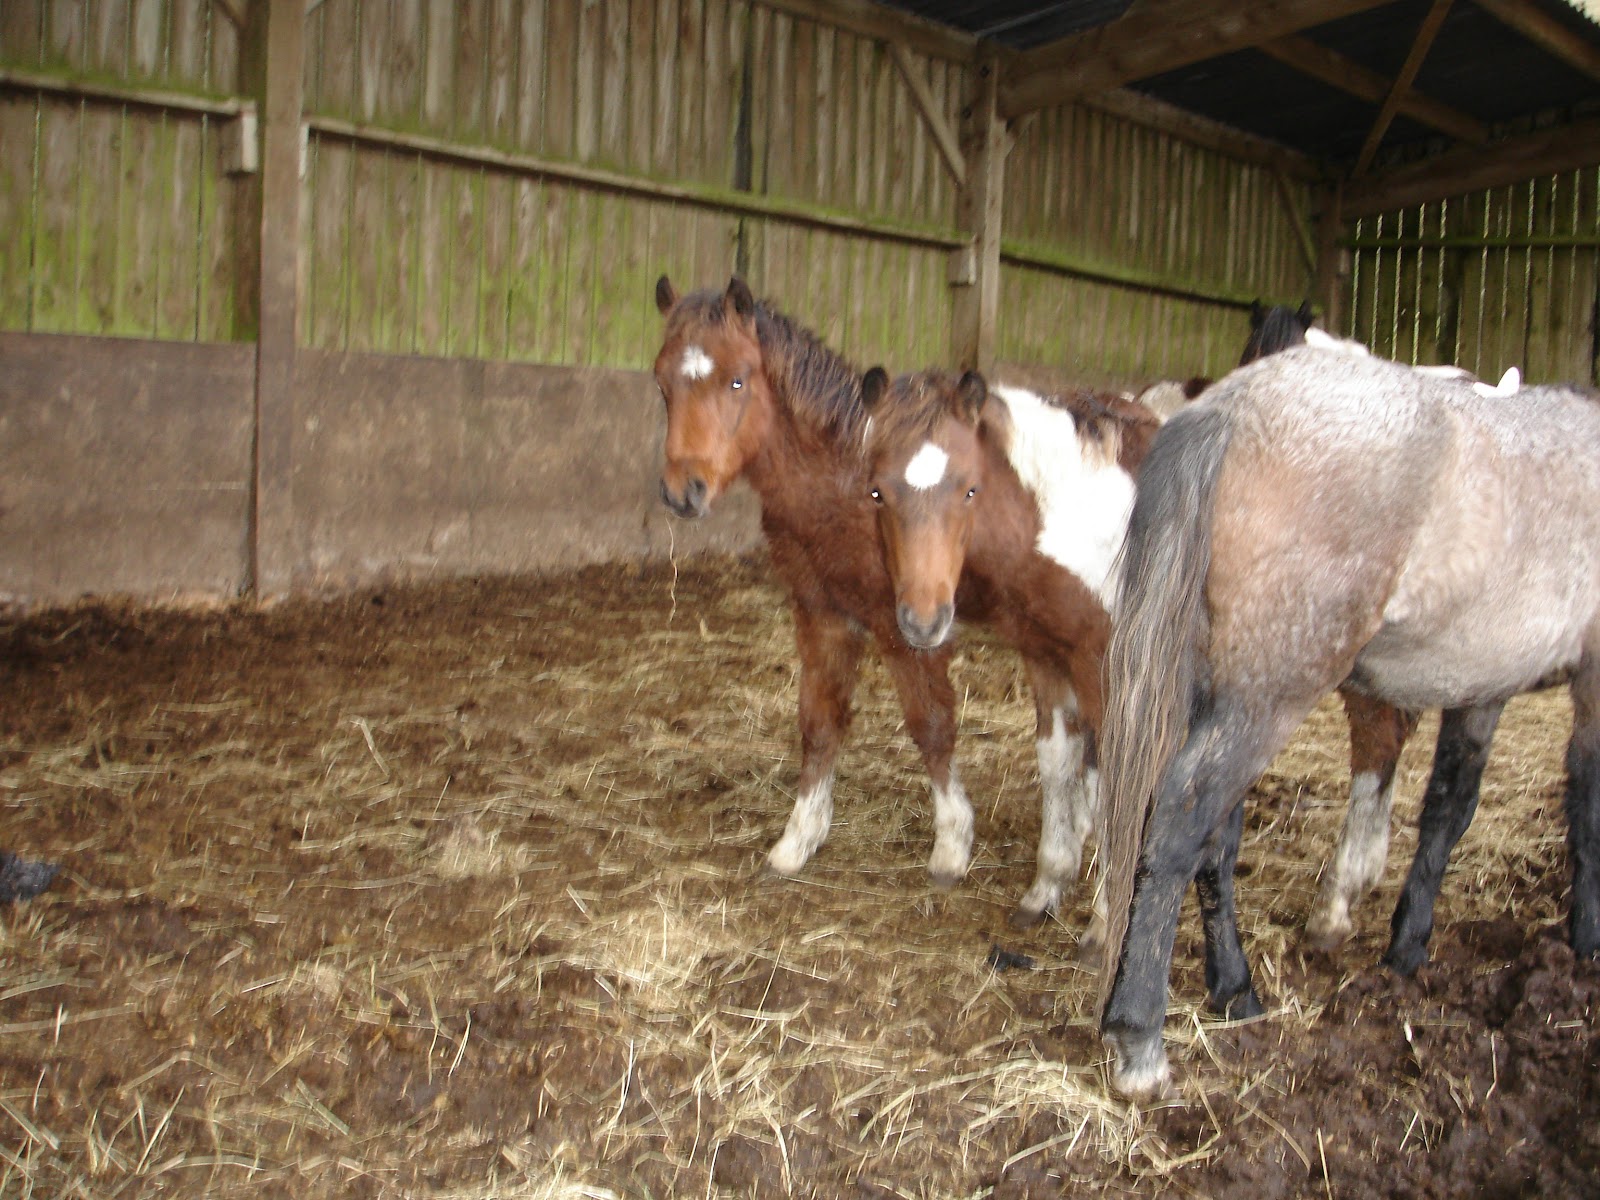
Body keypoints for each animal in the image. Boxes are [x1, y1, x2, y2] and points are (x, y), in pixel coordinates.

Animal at [652, 275, 1083, 922]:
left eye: (737, 379)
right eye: (662, 382)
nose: (685, 492)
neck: (844, 485)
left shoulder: (906, 626)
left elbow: (931, 726)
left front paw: (952, 846)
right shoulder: (820, 613)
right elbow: (819, 723)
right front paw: (797, 840)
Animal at [858, 366, 1418, 953]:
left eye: (970, 488)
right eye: (877, 491)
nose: (923, 620)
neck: (1082, 517)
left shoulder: (1113, 672)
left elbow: (1113, 784)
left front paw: (1104, 925)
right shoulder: (1047, 657)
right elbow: (1057, 763)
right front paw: (1045, 889)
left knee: (1376, 740)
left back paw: (1335, 906)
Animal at [1096, 345, 1600, 1099]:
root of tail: (1234, 407)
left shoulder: (1483, 687)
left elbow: (1449, 808)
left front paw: (1408, 944)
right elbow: (1588, 816)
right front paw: (1589, 942)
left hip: (1225, 693)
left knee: (1214, 838)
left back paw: (1236, 989)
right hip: (1267, 700)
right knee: (1183, 820)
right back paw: (1142, 1039)